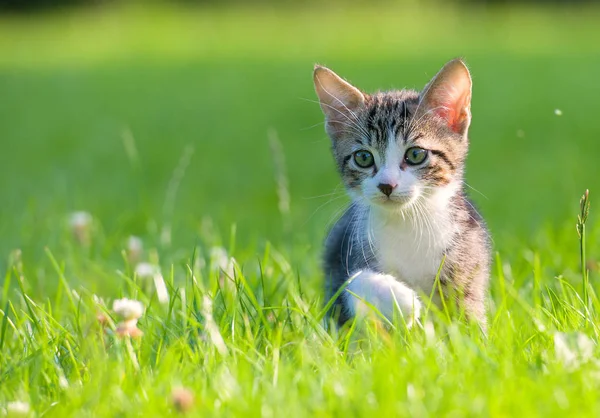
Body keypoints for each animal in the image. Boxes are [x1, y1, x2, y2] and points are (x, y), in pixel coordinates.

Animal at [314, 58, 492, 328]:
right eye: (363, 158)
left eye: (416, 154)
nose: (387, 185)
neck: (408, 222)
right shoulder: (346, 258)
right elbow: (351, 285)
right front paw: (400, 299)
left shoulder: (467, 257)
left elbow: (469, 321)